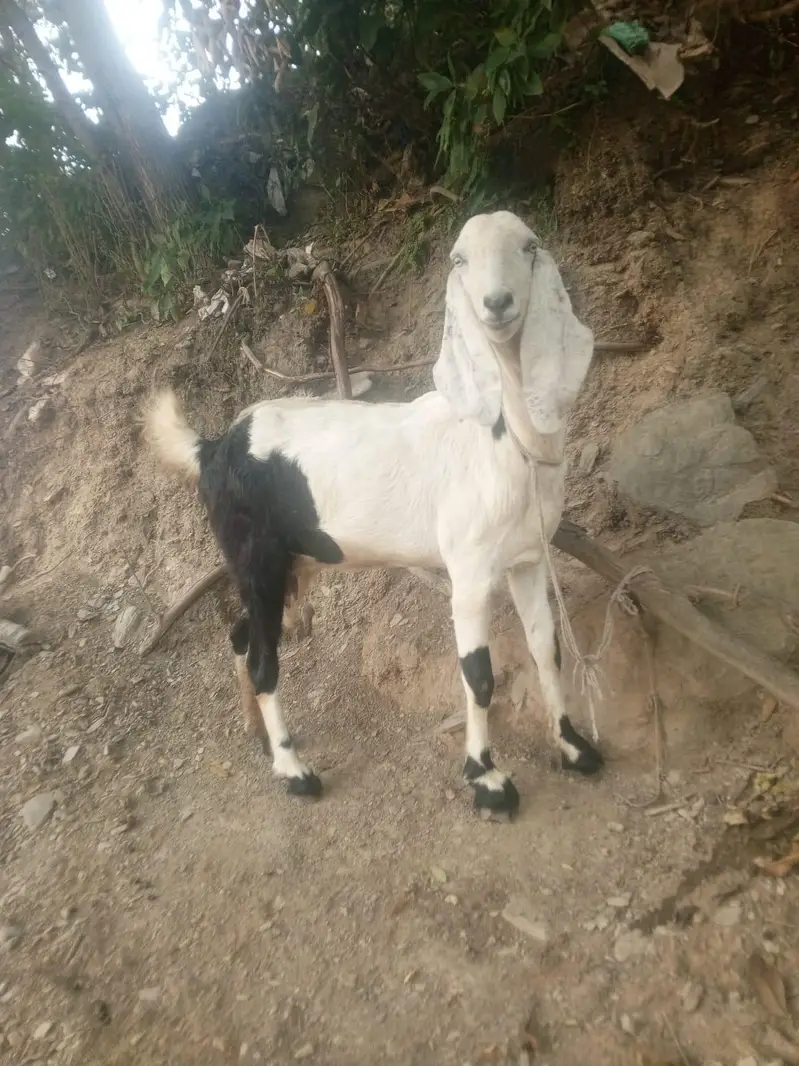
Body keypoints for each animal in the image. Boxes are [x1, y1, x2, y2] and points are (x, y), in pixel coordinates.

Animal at [144, 210, 602, 816]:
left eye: (529, 246)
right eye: (459, 259)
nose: (497, 303)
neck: (502, 441)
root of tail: (214, 447)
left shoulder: (527, 559)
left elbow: (546, 652)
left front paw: (574, 747)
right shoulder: (471, 571)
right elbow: (478, 676)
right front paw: (486, 779)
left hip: (294, 561)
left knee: (243, 636)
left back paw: (257, 734)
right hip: (255, 557)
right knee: (265, 661)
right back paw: (294, 770)